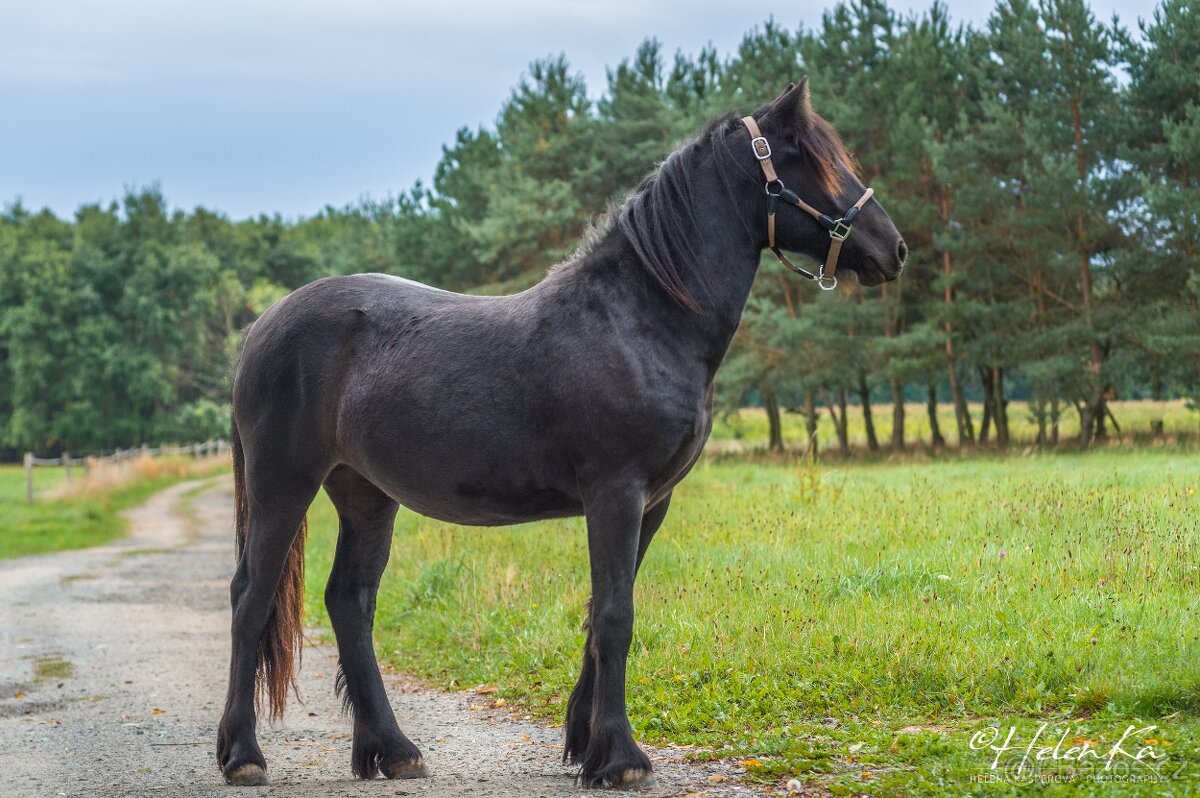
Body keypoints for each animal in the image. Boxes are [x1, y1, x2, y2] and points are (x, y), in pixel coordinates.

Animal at [216, 79, 906, 788]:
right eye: (811, 159)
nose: (894, 249)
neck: (640, 318)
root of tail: (261, 326)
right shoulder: (616, 495)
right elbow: (616, 617)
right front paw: (622, 757)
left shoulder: (652, 503)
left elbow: (601, 612)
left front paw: (586, 745)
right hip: (282, 487)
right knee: (251, 599)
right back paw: (244, 755)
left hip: (366, 495)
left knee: (350, 602)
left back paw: (393, 749)